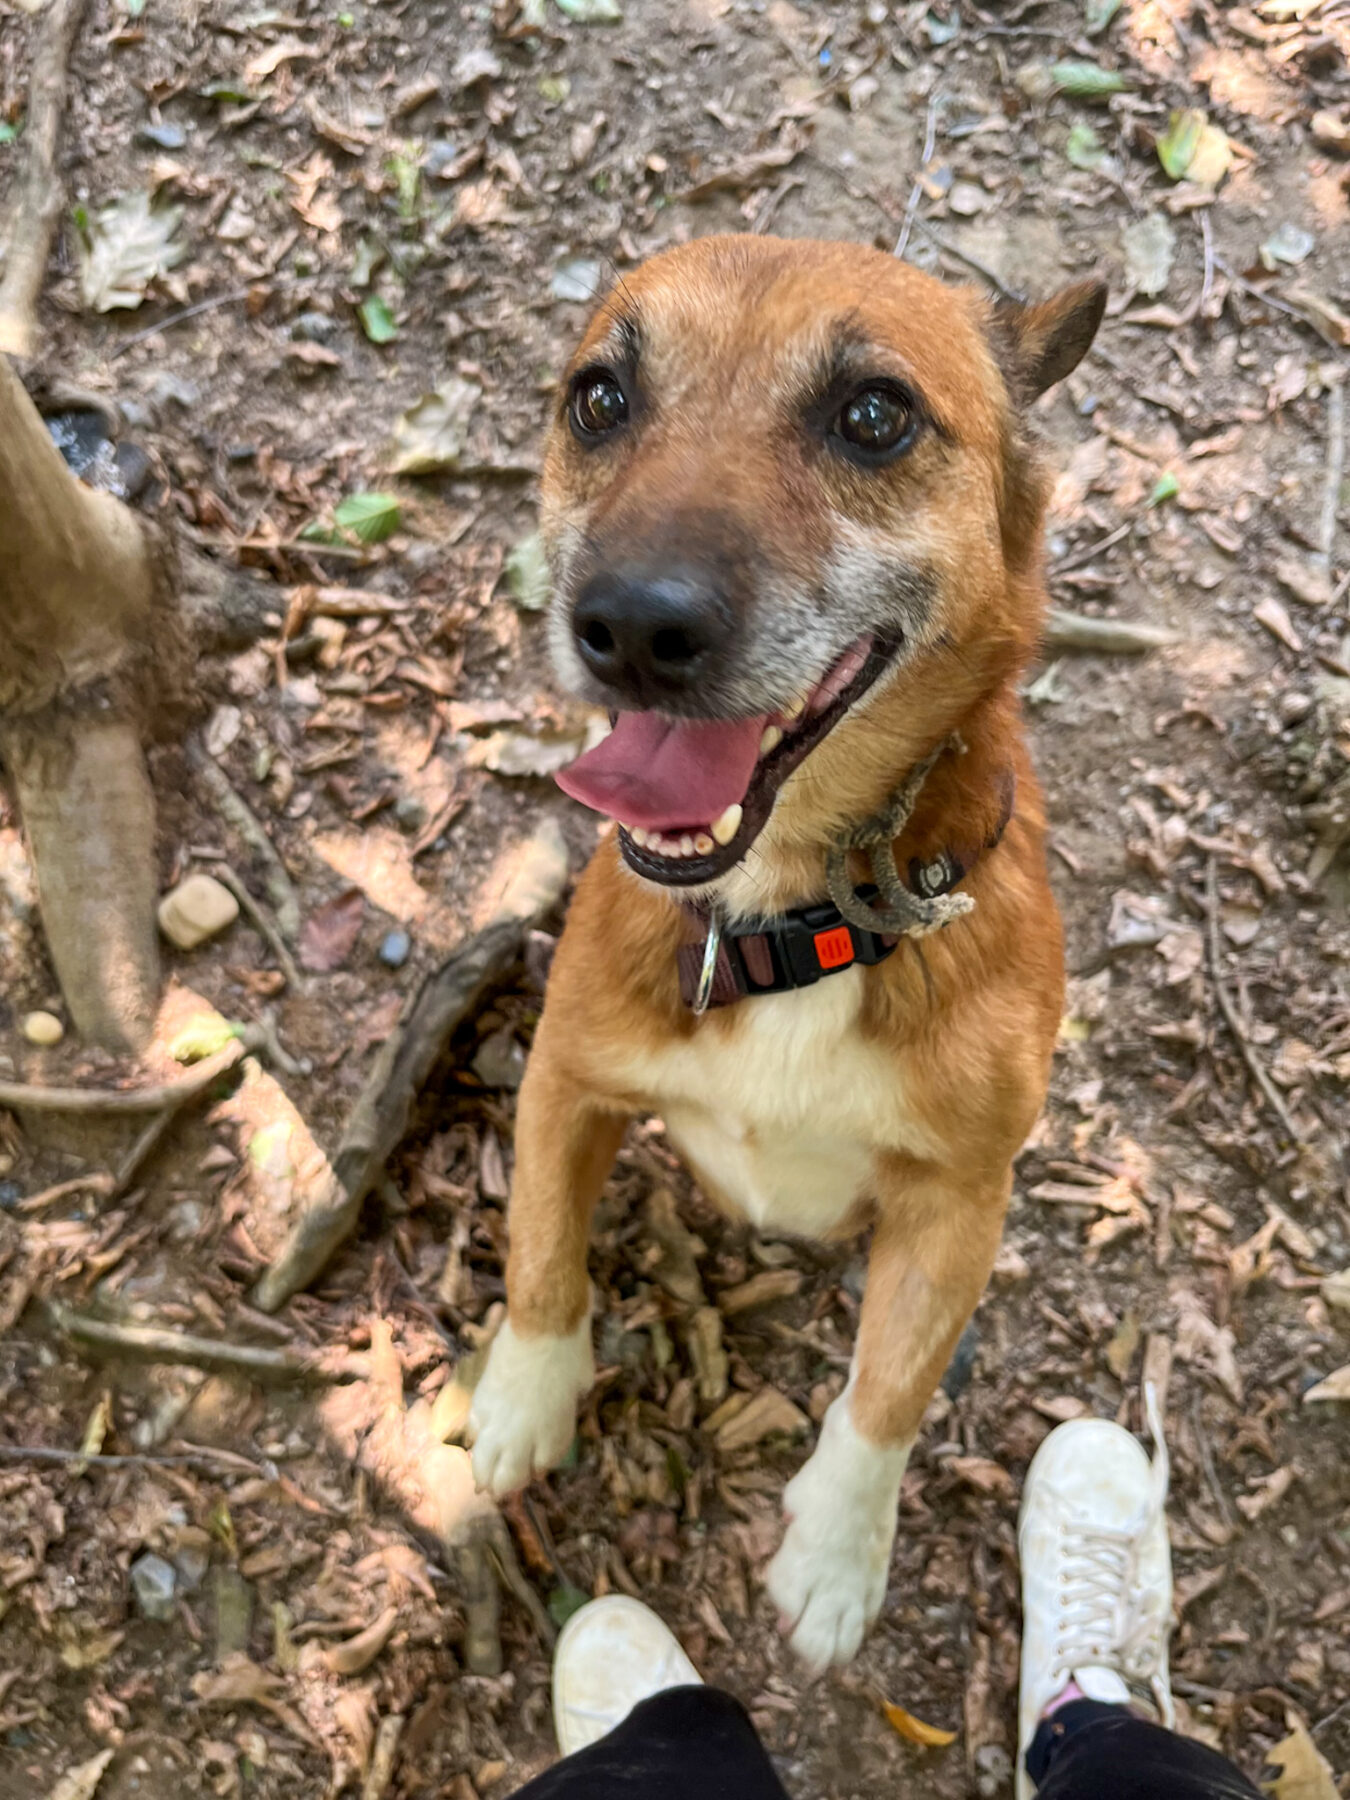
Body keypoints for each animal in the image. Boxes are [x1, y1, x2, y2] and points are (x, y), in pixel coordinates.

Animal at [471, 239, 1101, 1670]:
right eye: (599, 399)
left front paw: (836, 1554)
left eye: (873, 415)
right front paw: (524, 1395)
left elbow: (889, 1392)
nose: (630, 627)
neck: (785, 926)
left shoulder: (960, 1198)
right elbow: (541, 1252)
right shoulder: (563, 1081)